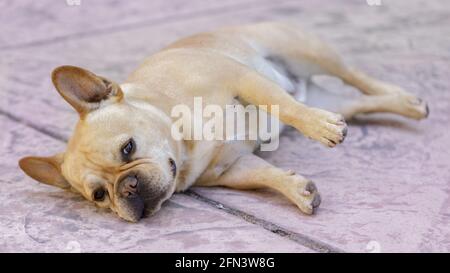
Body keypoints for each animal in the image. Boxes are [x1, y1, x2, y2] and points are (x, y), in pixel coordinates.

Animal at [18, 22, 428, 221]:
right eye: (100, 196)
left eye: (128, 148)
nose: (127, 188)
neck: (184, 140)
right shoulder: (233, 167)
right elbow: (263, 176)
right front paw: (296, 190)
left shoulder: (242, 79)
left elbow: (281, 105)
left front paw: (319, 129)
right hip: (328, 96)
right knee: (359, 102)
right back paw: (403, 105)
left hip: (308, 52)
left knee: (354, 77)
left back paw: (401, 101)